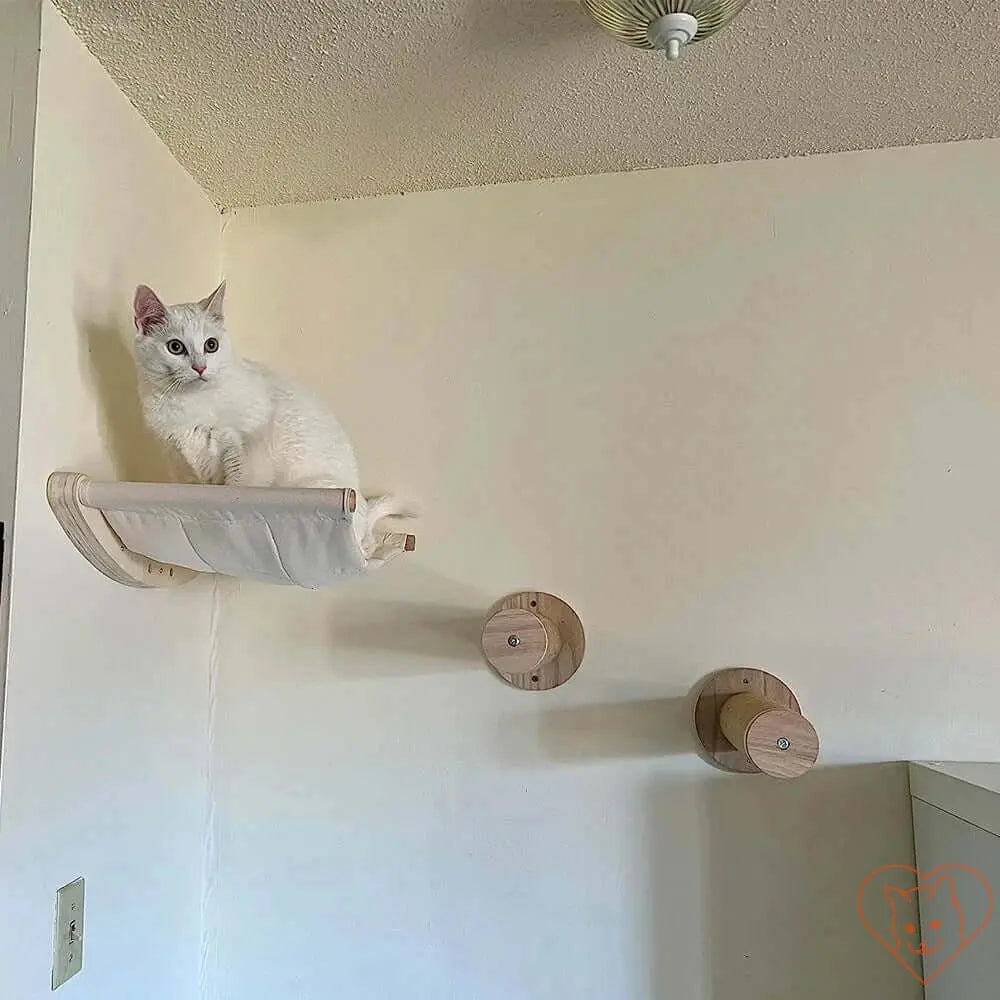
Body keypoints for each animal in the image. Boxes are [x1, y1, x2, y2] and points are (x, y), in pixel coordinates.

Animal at [131, 282, 400, 560]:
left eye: (211, 345)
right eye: (175, 347)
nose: (200, 367)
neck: (188, 403)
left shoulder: (241, 445)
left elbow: (238, 484)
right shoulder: (179, 461)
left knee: (366, 543)